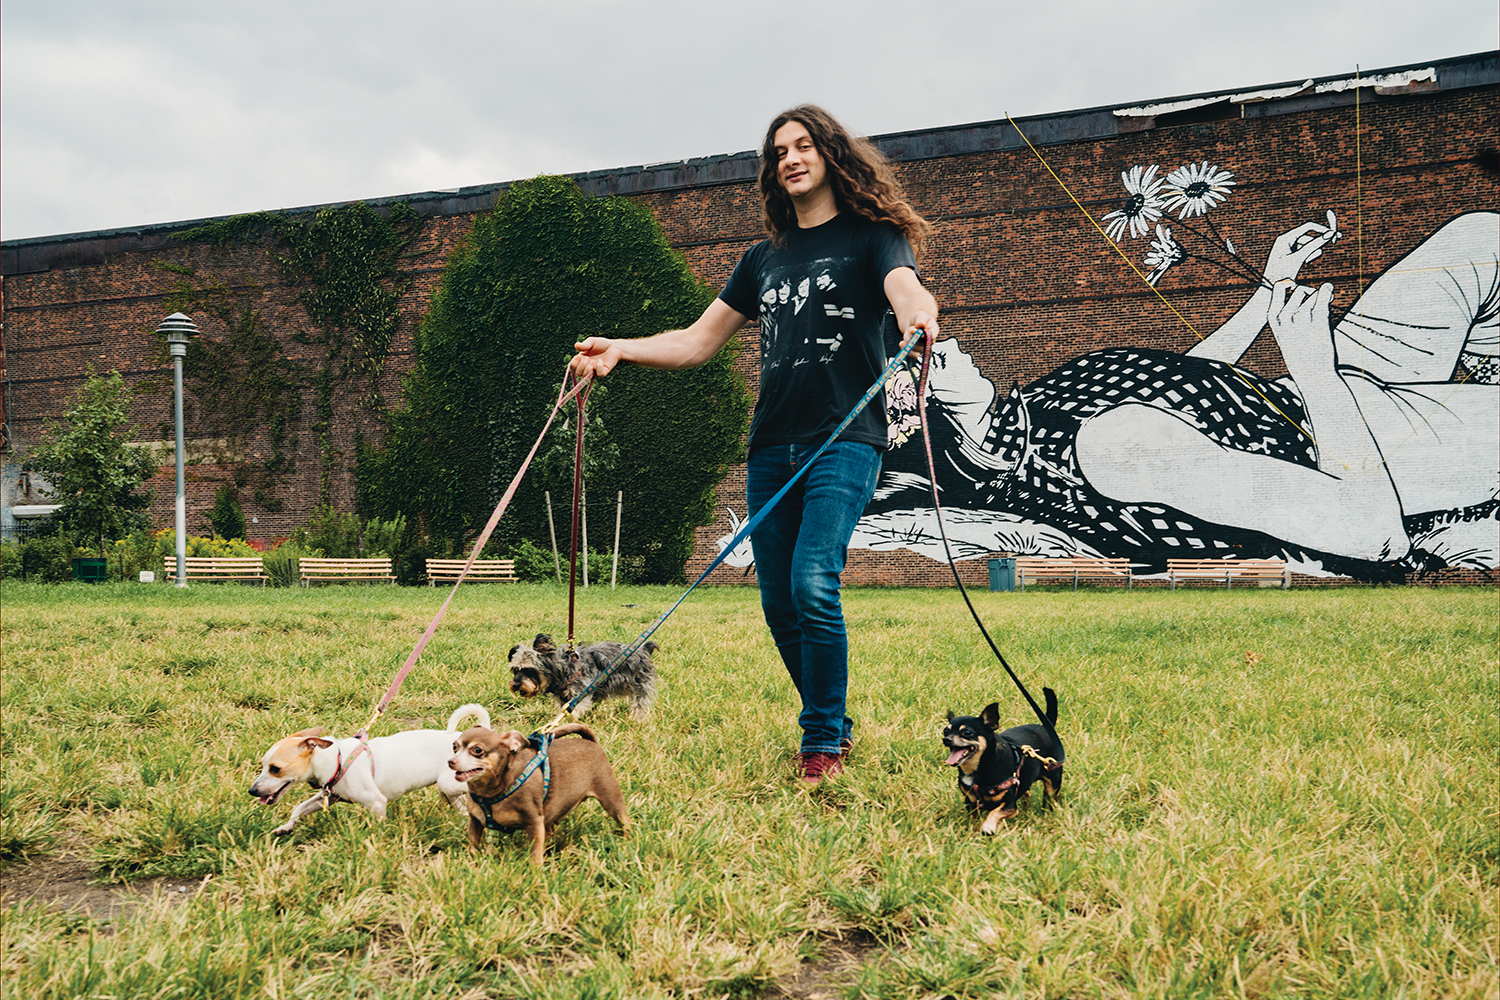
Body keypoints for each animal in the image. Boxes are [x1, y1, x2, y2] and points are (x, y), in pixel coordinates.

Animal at [249, 704, 489, 839]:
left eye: (275, 769)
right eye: (262, 765)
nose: (252, 791)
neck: (337, 759)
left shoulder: (377, 802)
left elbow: (377, 826)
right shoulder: (327, 797)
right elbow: (299, 808)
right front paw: (285, 828)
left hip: (447, 784)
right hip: (448, 792)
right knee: (462, 809)